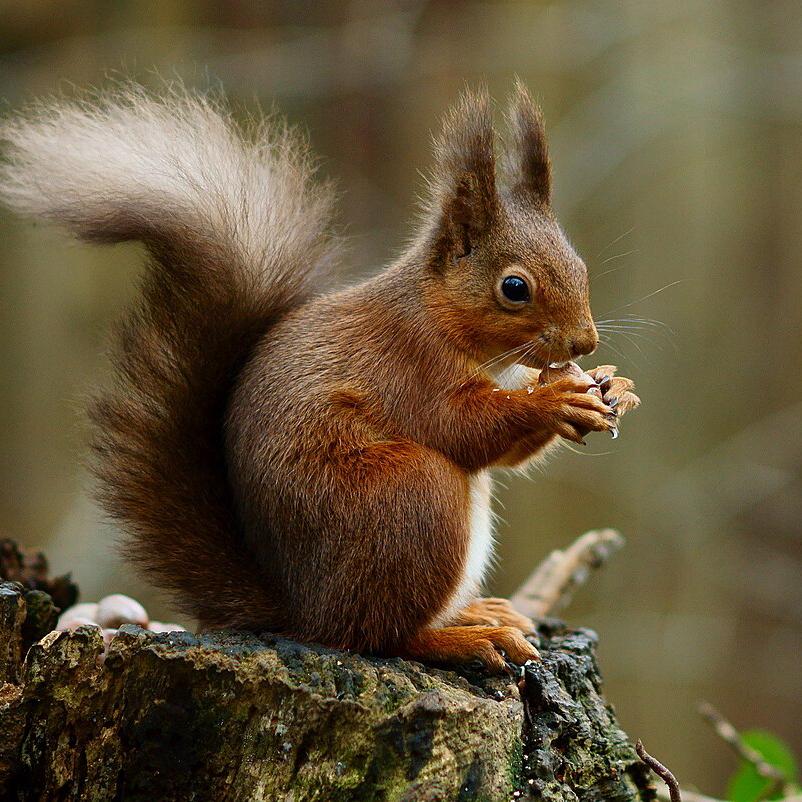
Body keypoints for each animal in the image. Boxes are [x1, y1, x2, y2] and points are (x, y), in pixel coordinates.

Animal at [0, 82, 638, 672]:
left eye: (579, 265)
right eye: (514, 287)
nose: (585, 342)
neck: (446, 322)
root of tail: (303, 610)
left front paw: (613, 386)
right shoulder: (409, 366)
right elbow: (461, 428)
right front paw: (555, 400)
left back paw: (476, 612)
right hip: (410, 497)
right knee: (376, 636)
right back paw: (460, 638)